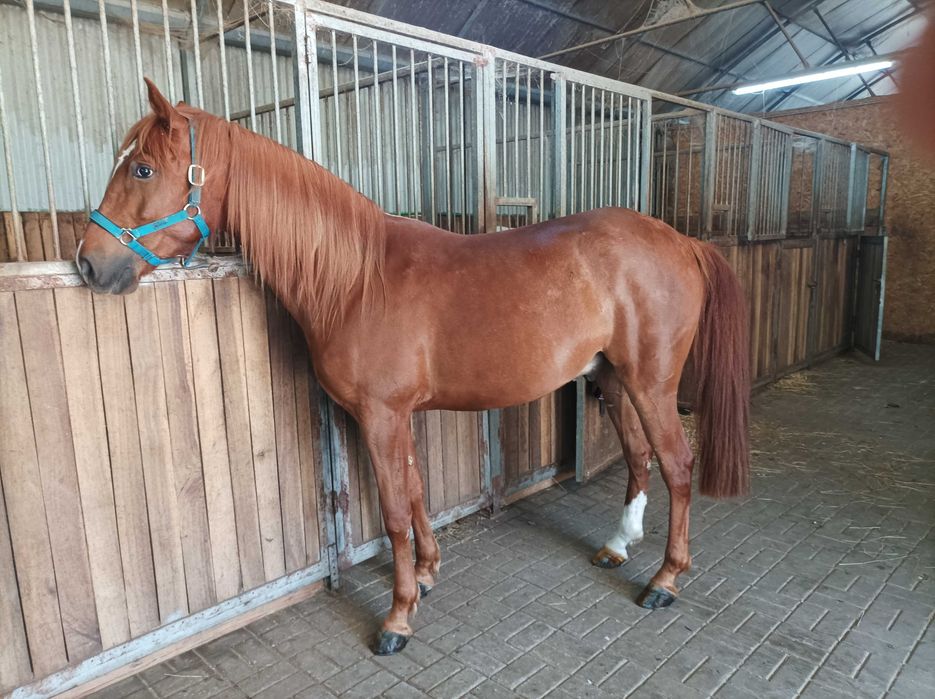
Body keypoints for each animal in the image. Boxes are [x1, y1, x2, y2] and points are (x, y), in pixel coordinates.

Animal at [78, 79, 750, 656]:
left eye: (142, 169)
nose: (88, 264)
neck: (354, 279)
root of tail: (680, 240)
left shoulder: (379, 415)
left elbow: (395, 511)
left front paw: (398, 617)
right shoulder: (395, 415)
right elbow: (417, 489)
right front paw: (427, 574)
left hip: (650, 382)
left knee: (677, 466)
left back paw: (664, 580)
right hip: (611, 377)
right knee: (638, 457)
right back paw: (617, 546)